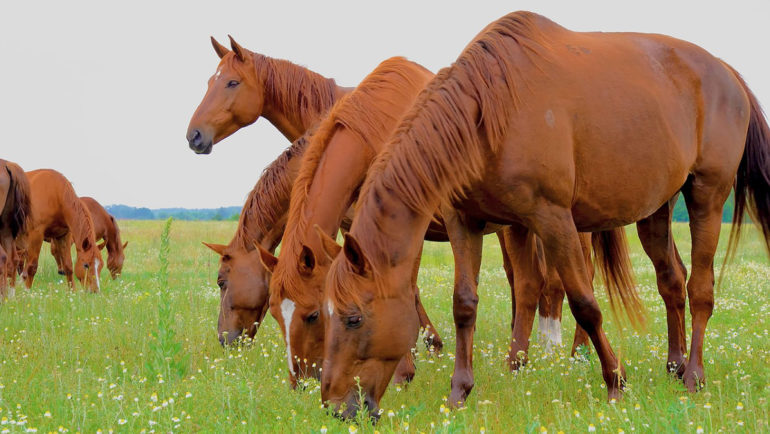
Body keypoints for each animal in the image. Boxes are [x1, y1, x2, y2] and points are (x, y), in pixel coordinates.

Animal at [320, 11, 770, 418]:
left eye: (353, 318)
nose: (335, 407)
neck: (490, 109)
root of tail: (727, 72)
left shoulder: (553, 219)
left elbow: (584, 302)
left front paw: (615, 382)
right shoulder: (464, 222)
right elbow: (464, 304)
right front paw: (459, 392)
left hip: (707, 195)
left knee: (700, 289)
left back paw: (693, 375)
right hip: (656, 210)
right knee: (672, 282)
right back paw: (674, 367)